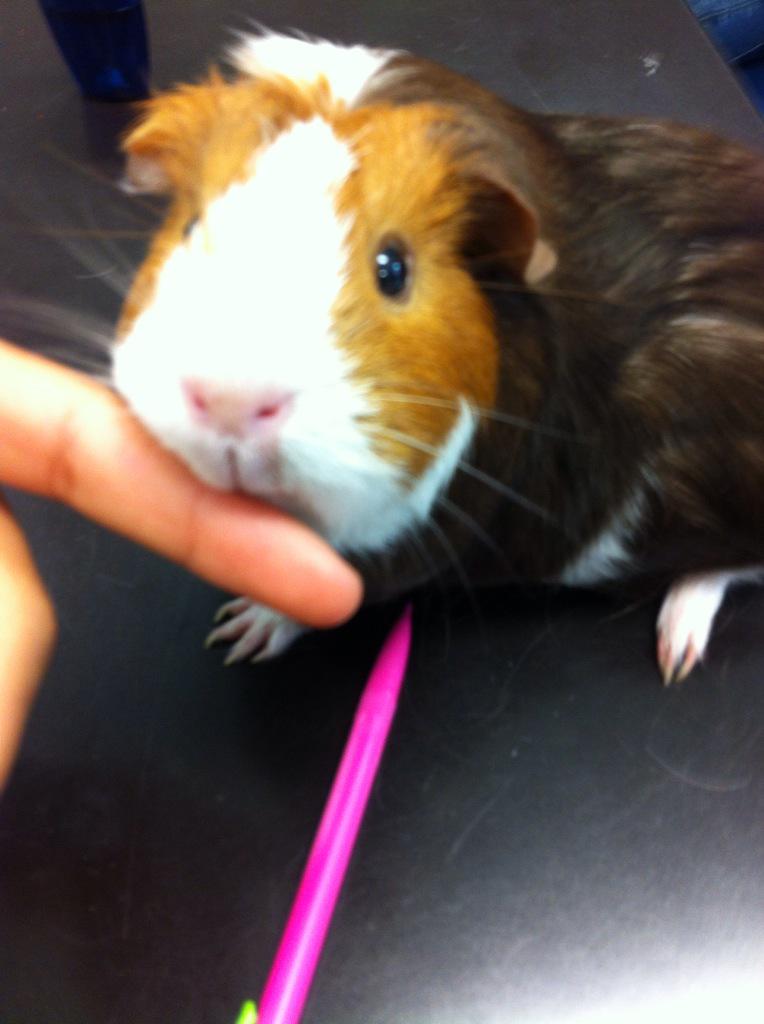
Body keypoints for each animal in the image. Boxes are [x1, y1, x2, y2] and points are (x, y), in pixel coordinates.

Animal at [112, 31, 764, 684]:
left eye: (393, 268)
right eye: (191, 225)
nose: (228, 400)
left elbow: (320, 596)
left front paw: (242, 630)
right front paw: (234, 630)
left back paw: (677, 647)